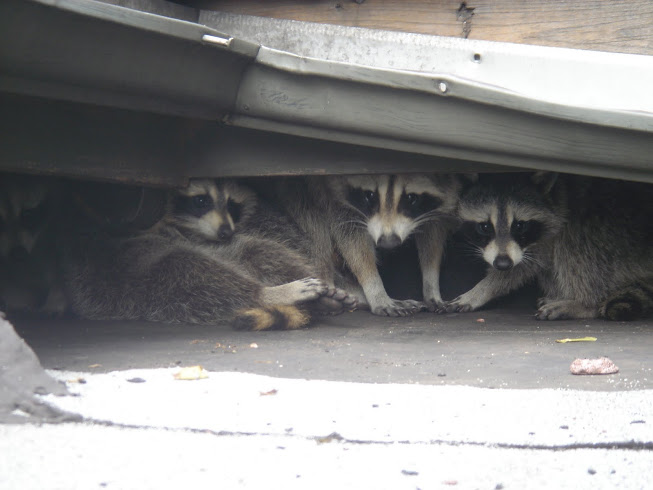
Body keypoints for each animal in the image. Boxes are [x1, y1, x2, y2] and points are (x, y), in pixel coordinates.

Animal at [65, 178, 352, 332]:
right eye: (201, 200)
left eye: (233, 205)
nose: (225, 232)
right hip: (124, 282)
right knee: (189, 270)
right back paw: (265, 294)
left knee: (258, 250)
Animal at [262, 174, 460, 316]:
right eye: (369, 195)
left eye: (411, 198)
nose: (388, 243)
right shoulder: (333, 192)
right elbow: (352, 239)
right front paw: (375, 289)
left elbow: (433, 230)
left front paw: (431, 282)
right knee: (312, 224)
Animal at [444, 173, 652, 322]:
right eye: (485, 227)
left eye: (519, 225)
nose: (502, 264)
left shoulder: (555, 224)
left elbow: (524, 267)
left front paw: (483, 289)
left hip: (619, 230)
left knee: (576, 242)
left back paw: (584, 303)